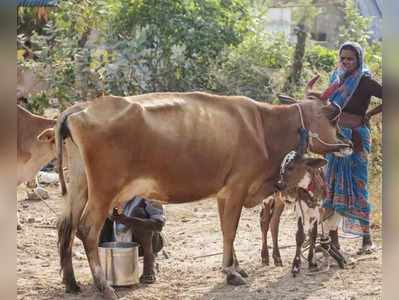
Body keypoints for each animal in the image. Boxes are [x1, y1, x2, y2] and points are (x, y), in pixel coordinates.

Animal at [55, 88, 350, 298]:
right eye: (331, 117)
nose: (348, 142)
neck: (264, 127)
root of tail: (81, 107)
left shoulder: (223, 193)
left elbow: (225, 228)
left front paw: (236, 265)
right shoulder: (238, 187)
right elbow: (231, 229)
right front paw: (231, 272)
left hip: (80, 186)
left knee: (66, 226)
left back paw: (71, 283)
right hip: (104, 190)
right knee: (87, 229)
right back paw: (104, 286)